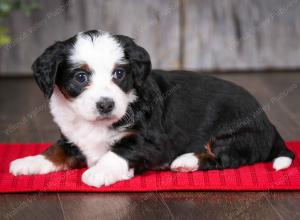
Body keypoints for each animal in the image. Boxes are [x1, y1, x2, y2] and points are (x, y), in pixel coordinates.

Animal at [8, 29, 292, 187]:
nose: (106, 104)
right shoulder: (72, 138)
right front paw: (30, 162)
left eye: (119, 74)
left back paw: (186, 160)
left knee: (225, 158)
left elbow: (119, 152)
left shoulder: (151, 141)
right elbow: (55, 151)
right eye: (80, 77)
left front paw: (98, 172)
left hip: (234, 132)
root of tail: (269, 123)